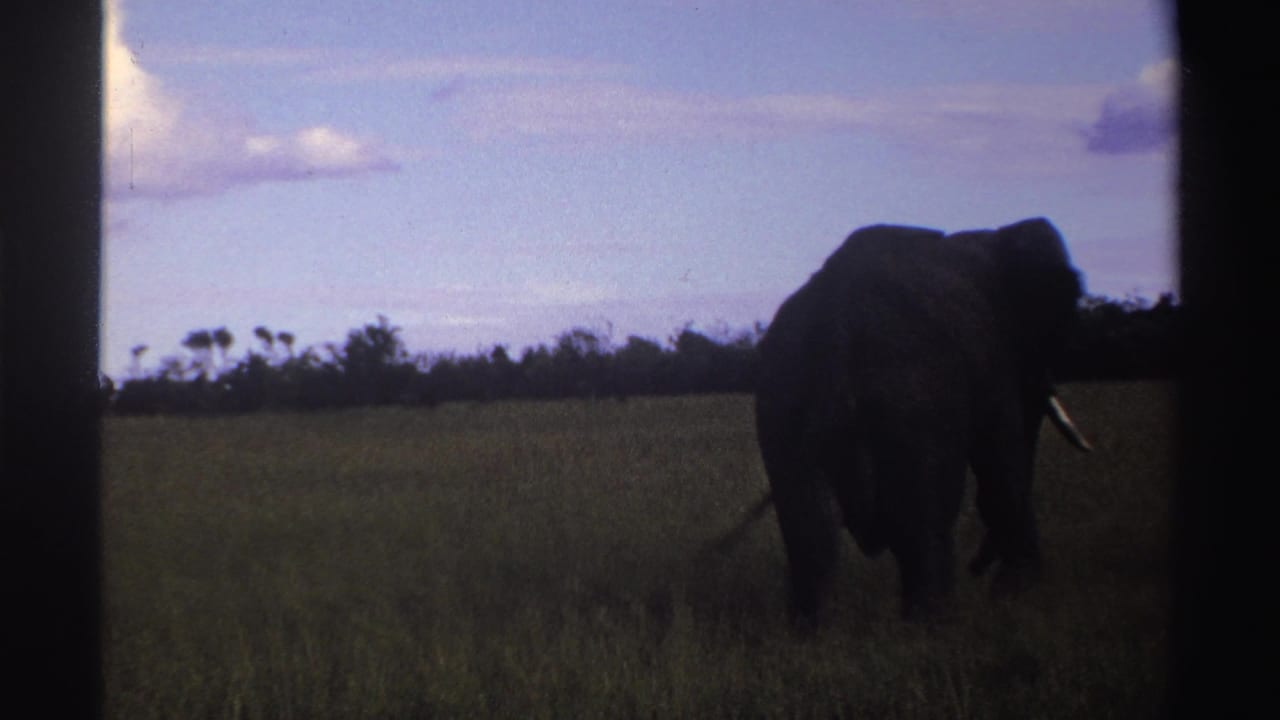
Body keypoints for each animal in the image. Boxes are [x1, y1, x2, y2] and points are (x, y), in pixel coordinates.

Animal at [750, 217, 1092, 623]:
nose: (977, 568)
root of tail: (836, 331)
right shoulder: (993, 360)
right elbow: (1002, 465)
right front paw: (1015, 594)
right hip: (914, 409)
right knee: (924, 530)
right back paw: (935, 626)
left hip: (783, 406)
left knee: (812, 538)